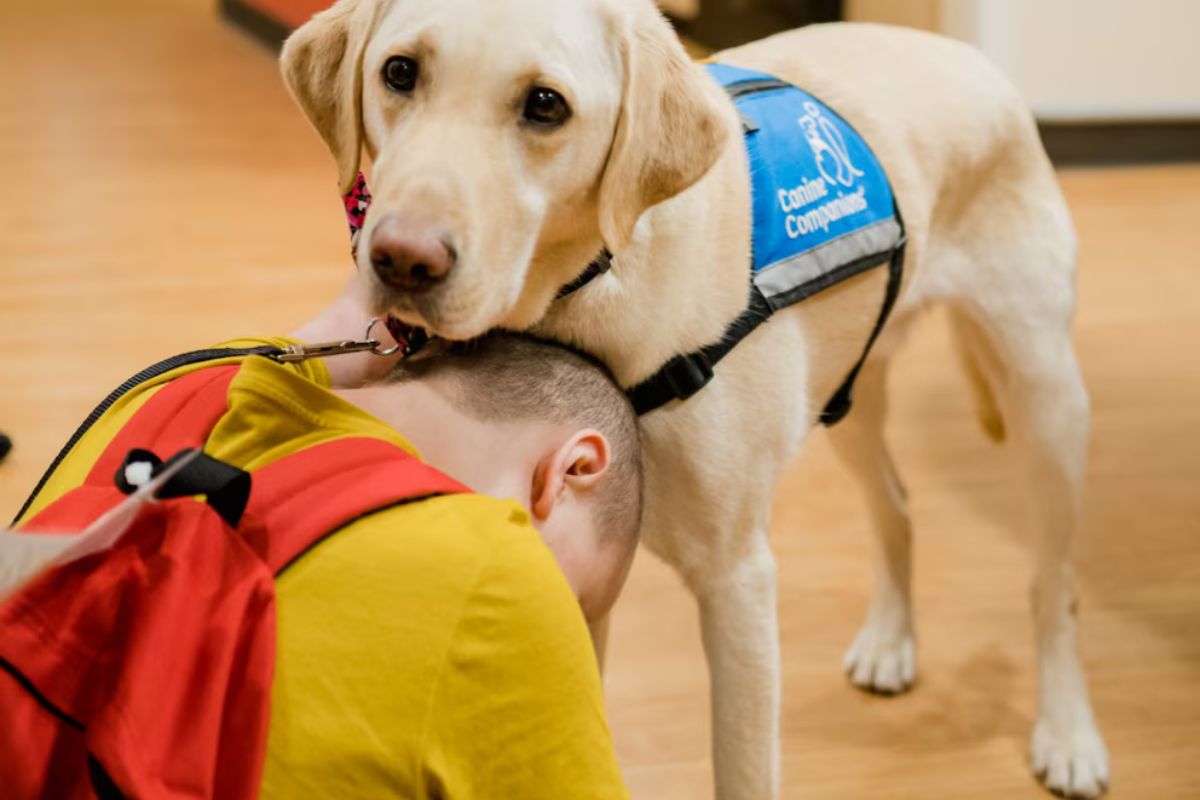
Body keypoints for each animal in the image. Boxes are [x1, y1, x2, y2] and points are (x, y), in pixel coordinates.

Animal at [278, 3, 1104, 796]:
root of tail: (969, 57)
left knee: (1055, 585)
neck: (593, 288)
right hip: (851, 394)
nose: (402, 260)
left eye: (545, 105)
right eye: (399, 72)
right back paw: (892, 640)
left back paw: (1067, 734)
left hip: (1045, 399)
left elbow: (741, 768)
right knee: (896, 507)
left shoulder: (735, 581)